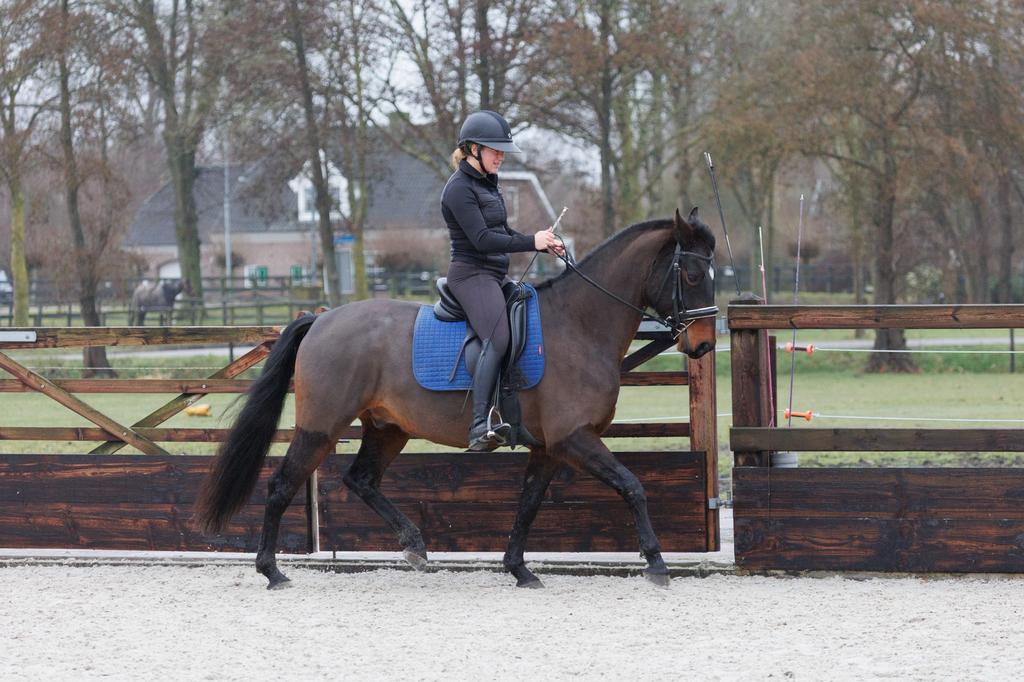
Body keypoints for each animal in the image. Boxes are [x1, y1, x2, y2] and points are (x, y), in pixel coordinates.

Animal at [195, 207, 718, 589]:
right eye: (693, 276)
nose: (703, 346)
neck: (579, 325)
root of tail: (321, 318)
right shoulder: (575, 439)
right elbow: (631, 485)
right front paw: (656, 563)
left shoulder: (551, 448)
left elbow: (529, 502)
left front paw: (518, 569)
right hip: (321, 427)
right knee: (283, 485)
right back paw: (272, 571)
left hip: (387, 428)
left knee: (361, 480)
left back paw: (414, 545)